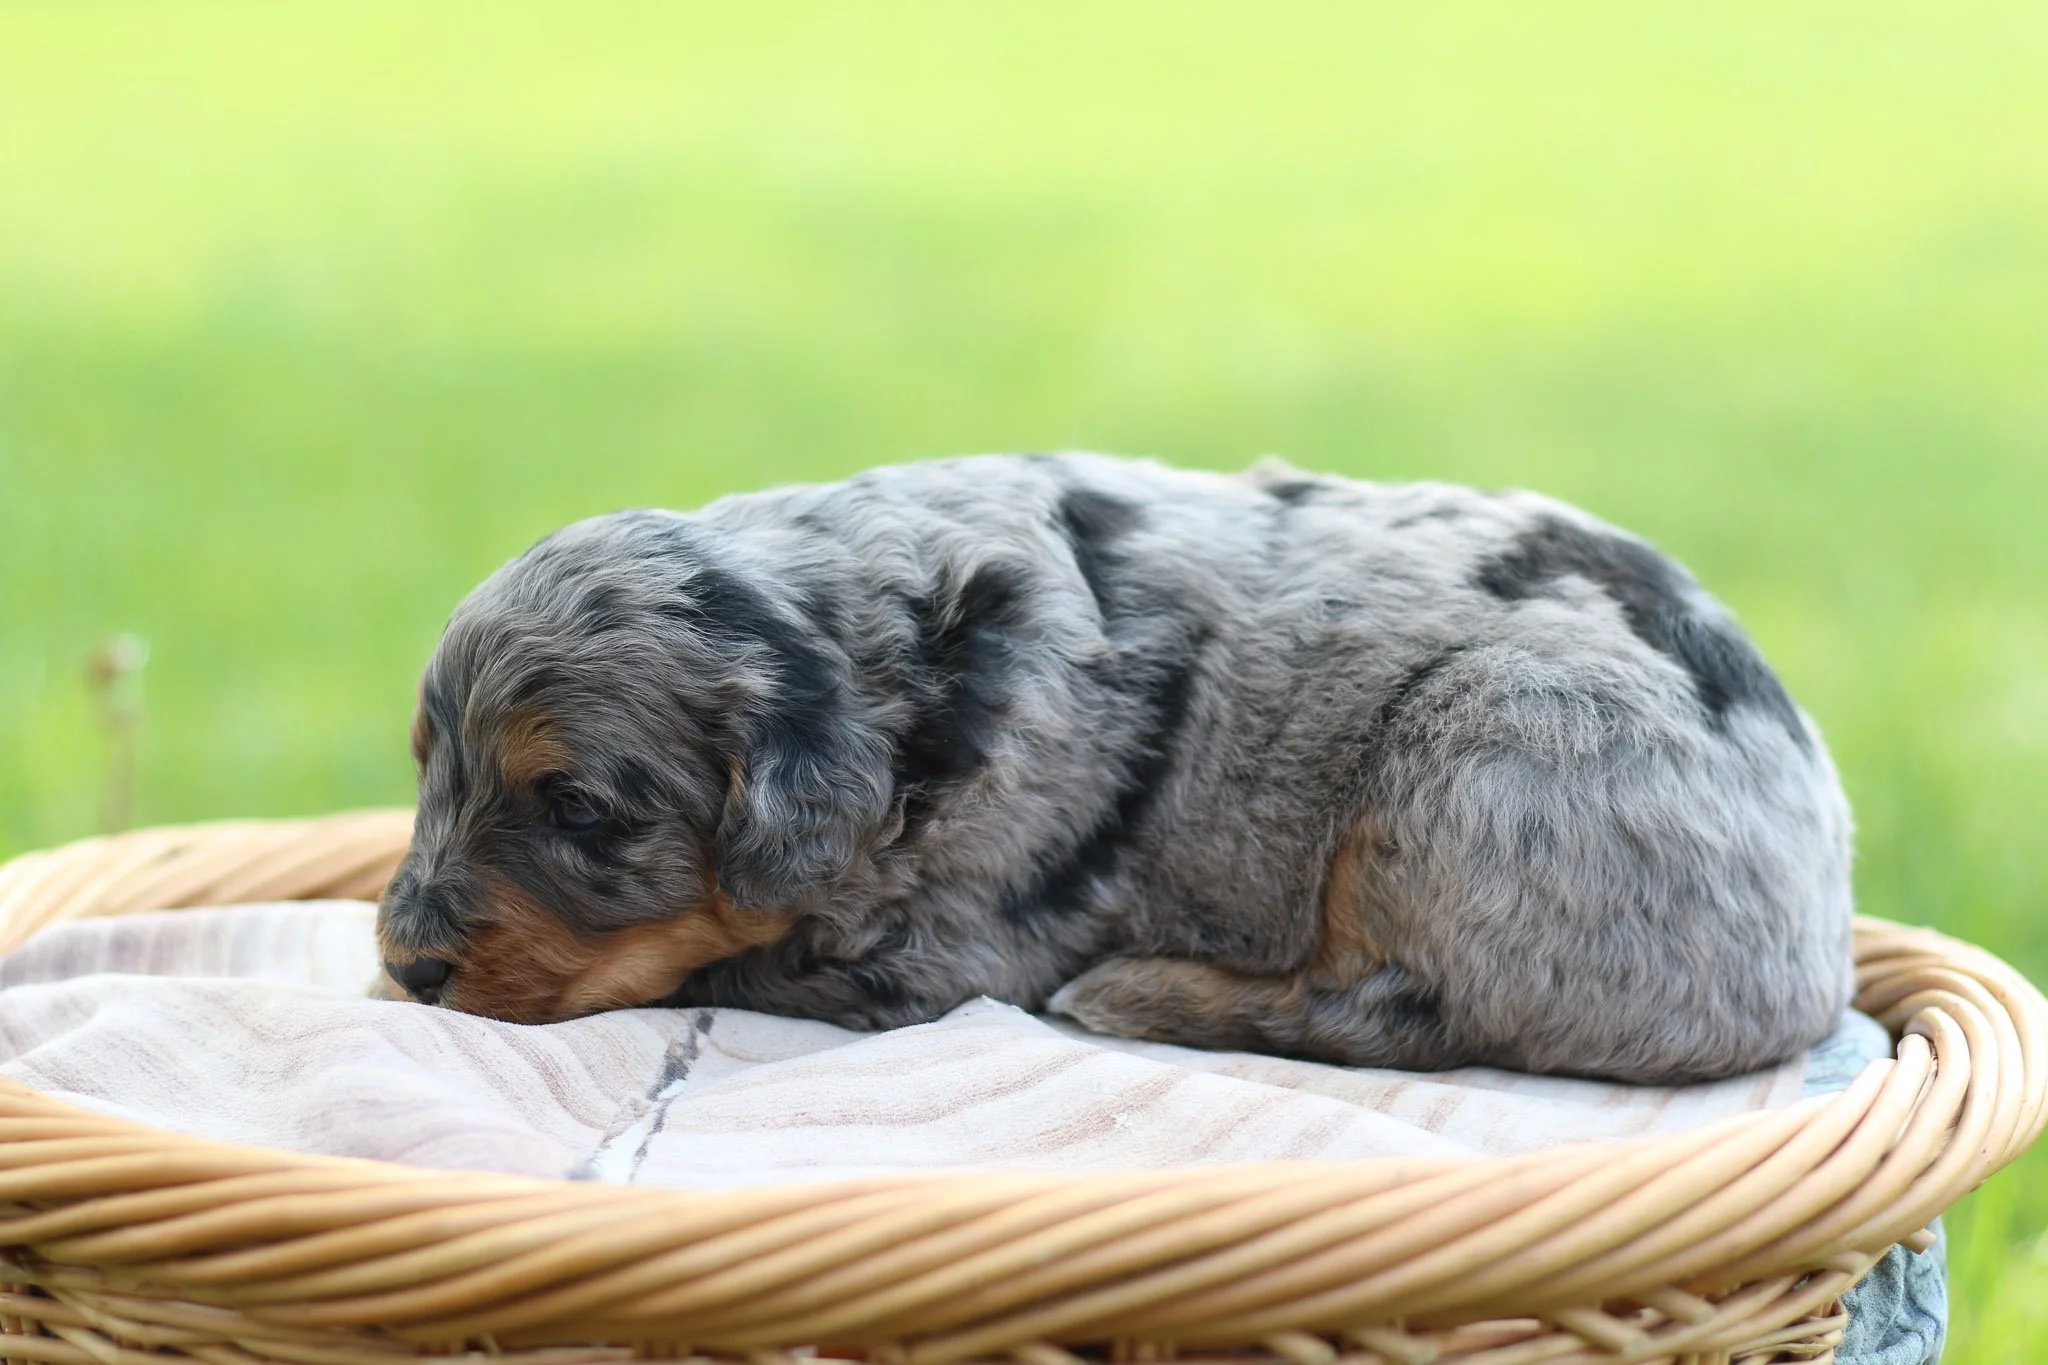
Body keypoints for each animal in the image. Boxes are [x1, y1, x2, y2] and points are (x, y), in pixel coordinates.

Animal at [376, 453, 1854, 1083]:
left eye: (576, 808)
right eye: (428, 774)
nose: (404, 968)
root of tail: (1818, 961)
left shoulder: (946, 949)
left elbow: (715, 967)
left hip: (1481, 754)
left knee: (1402, 1012)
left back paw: (1140, 993)